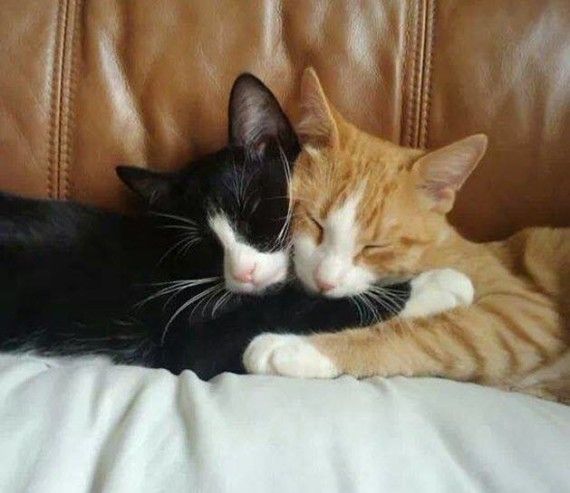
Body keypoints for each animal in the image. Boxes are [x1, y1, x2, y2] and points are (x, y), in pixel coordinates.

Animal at [0, 73, 470, 376]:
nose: (243, 273)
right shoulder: (185, 334)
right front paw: (437, 285)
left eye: (253, 212)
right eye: (203, 243)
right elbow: (292, 308)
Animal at [243, 67, 568, 402]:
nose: (325, 281)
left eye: (374, 247)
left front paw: (298, 348)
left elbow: (432, 333)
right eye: (315, 222)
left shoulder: (525, 313)